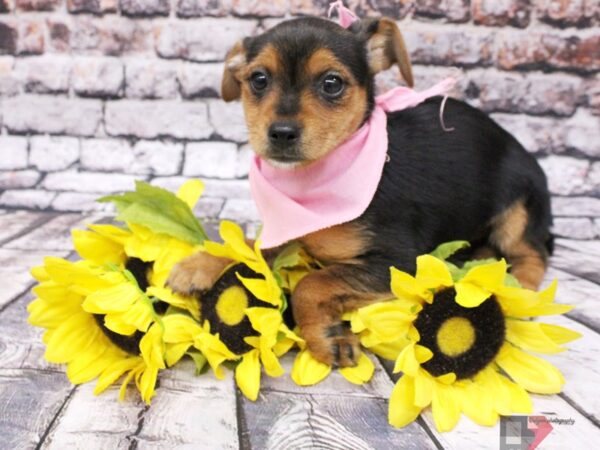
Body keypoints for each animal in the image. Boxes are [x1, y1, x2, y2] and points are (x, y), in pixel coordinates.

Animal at [168, 18, 552, 370]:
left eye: (332, 83)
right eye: (258, 79)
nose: (281, 133)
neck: (312, 182)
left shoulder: (401, 262)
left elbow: (312, 282)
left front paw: (327, 338)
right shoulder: (290, 231)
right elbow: (248, 244)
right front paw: (199, 263)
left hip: (518, 208)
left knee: (533, 255)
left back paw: (520, 292)